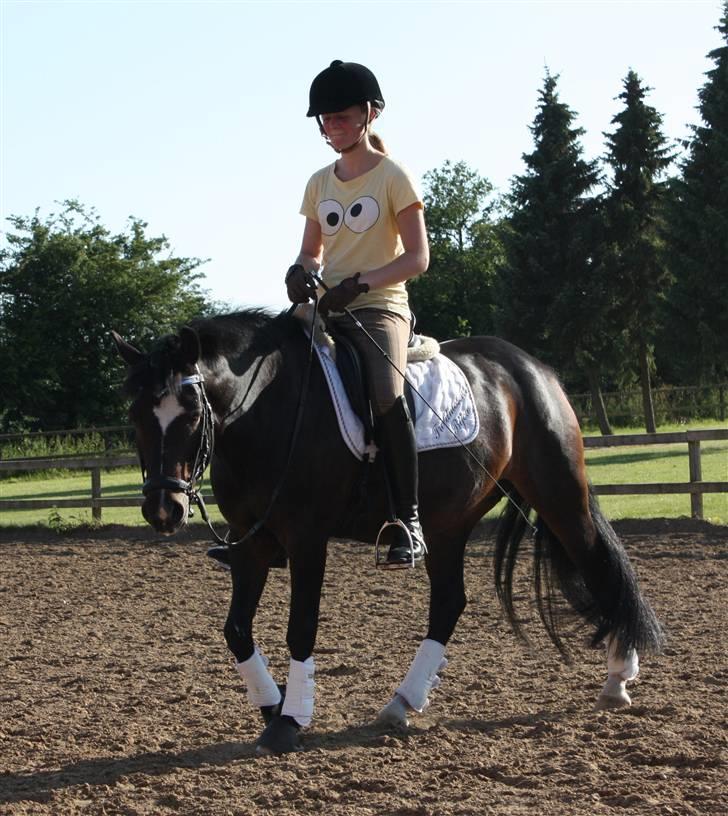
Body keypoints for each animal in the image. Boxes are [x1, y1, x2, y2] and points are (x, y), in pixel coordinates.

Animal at [112, 308, 664, 756]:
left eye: (189, 412)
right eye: (135, 414)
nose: (163, 509)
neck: (268, 409)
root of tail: (533, 369)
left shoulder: (307, 539)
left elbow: (301, 627)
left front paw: (290, 720)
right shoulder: (251, 543)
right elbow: (235, 631)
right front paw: (272, 704)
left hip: (558, 494)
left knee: (596, 559)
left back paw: (619, 677)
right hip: (448, 523)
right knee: (449, 603)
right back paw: (402, 703)